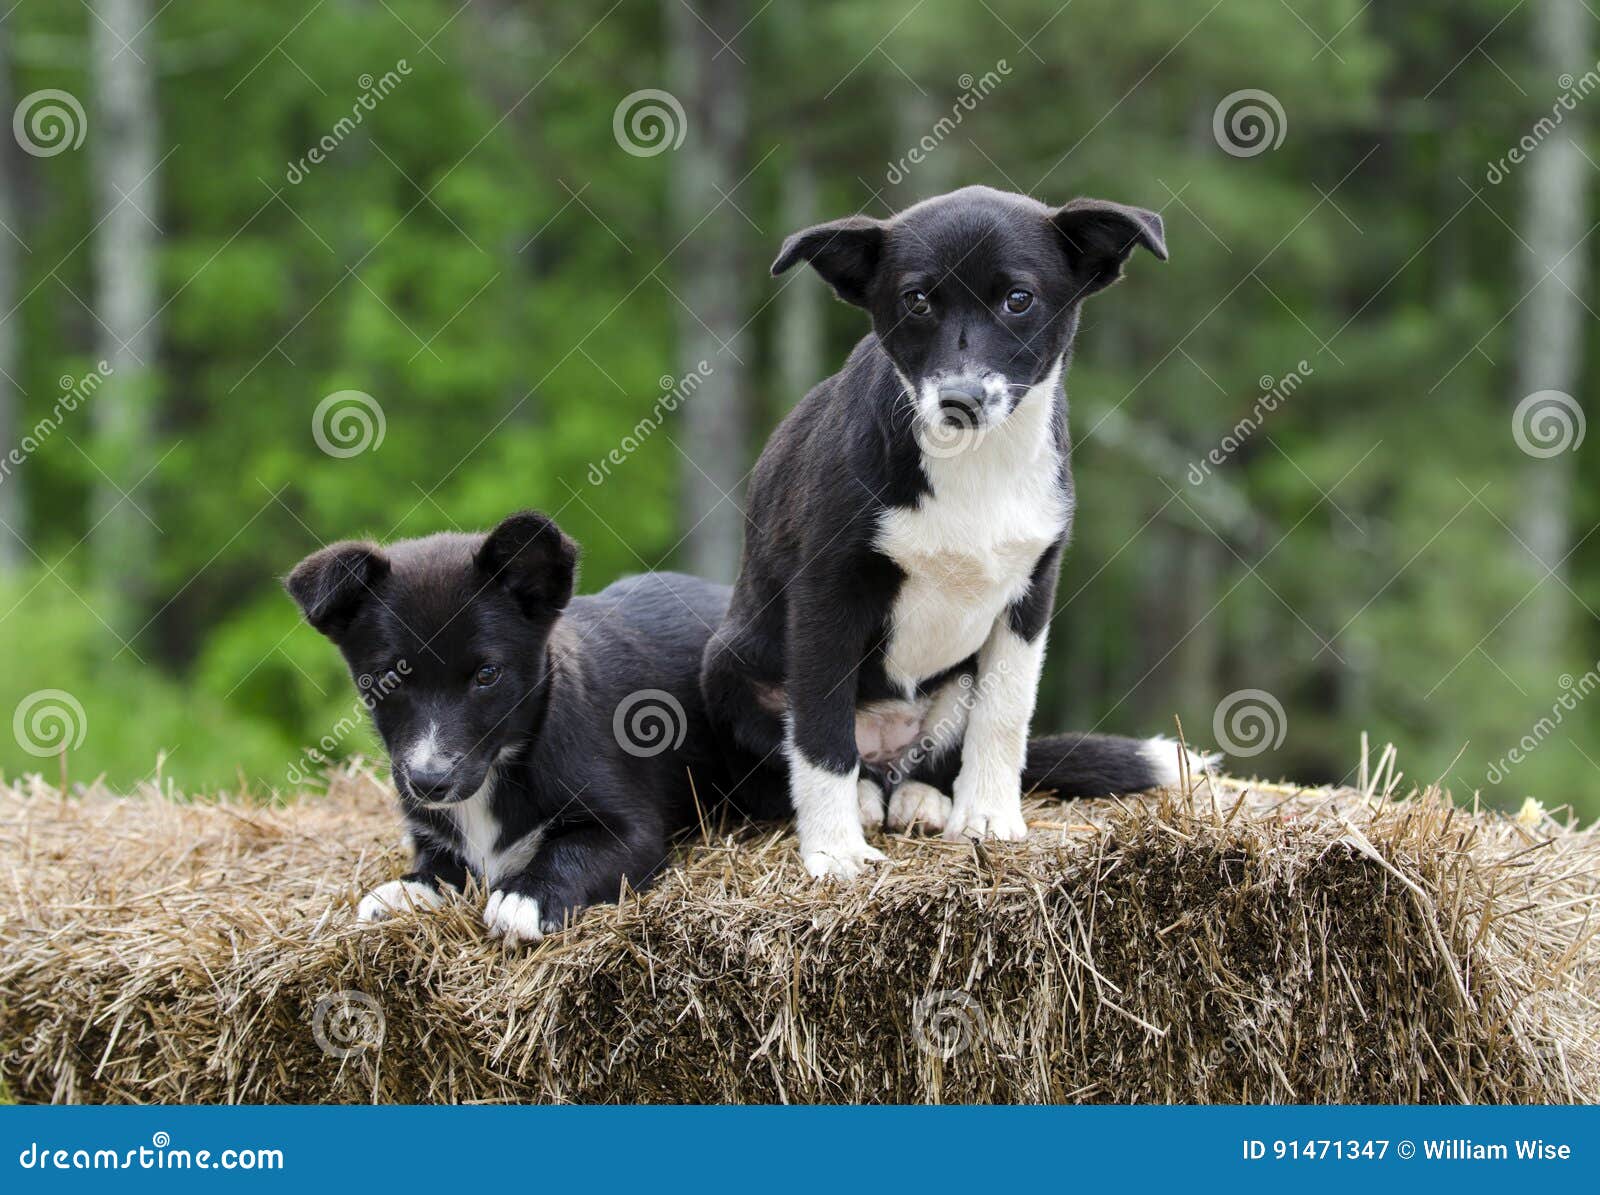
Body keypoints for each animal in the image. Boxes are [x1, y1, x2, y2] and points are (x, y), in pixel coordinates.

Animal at [291, 508, 732, 947]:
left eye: (487, 674)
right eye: (388, 679)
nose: (429, 783)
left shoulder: (634, 830)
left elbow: (572, 851)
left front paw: (527, 896)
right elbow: (439, 866)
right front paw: (407, 888)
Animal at [707, 184, 1203, 876]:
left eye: (1018, 299)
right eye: (917, 301)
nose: (960, 401)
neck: (973, 463)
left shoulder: (1032, 594)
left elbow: (1005, 715)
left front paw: (989, 817)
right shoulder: (826, 595)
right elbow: (821, 733)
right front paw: (835, 852)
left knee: (928, 762)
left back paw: (921, 801)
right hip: (726, 667)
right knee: (823, 760)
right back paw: (863, 804)